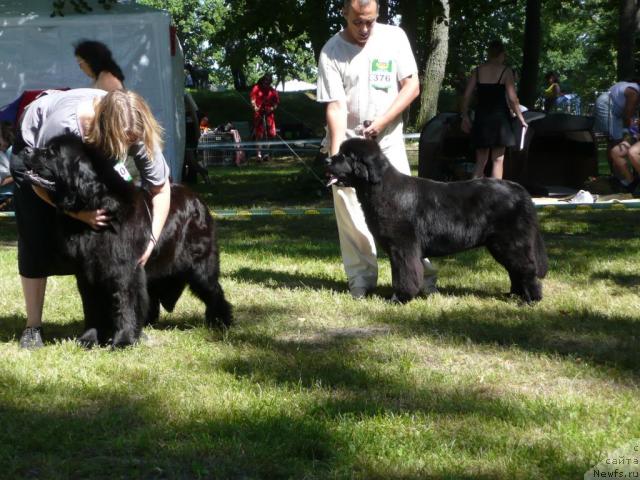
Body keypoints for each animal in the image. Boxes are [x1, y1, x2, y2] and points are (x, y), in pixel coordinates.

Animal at [22, 133, 232, 346]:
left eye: (52, 153)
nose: (26, 150)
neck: (98, 205)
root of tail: (198, 199)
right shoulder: (87, 271)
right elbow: (91, 307)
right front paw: (89, 338)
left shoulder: (124, 269)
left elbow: (125, 304)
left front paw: (123, 339)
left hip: (199, 265)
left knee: (214, 291)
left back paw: (220, 322)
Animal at [328, 139, 548, 302]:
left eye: (346, 156)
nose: (327, 160)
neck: (380, 190)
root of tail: (521, 191)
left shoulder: (403, 247)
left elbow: (404, 274)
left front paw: (399, 298)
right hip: (500, 244)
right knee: (515, 269)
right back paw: (514, 295)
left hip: (511, 242)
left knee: (526, 268)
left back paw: (531, 299)